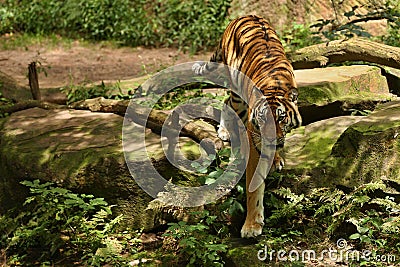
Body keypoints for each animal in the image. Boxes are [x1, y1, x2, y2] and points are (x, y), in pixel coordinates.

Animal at [192, 15, 302, 239]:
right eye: (262, 121)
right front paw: (251, 226)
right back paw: (226, 132)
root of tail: (244, 16)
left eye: (281, 118)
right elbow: (254, 186)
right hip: (236, 91)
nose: (270, 139)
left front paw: (276, 159)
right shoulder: (256, 141)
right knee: (228, 102)